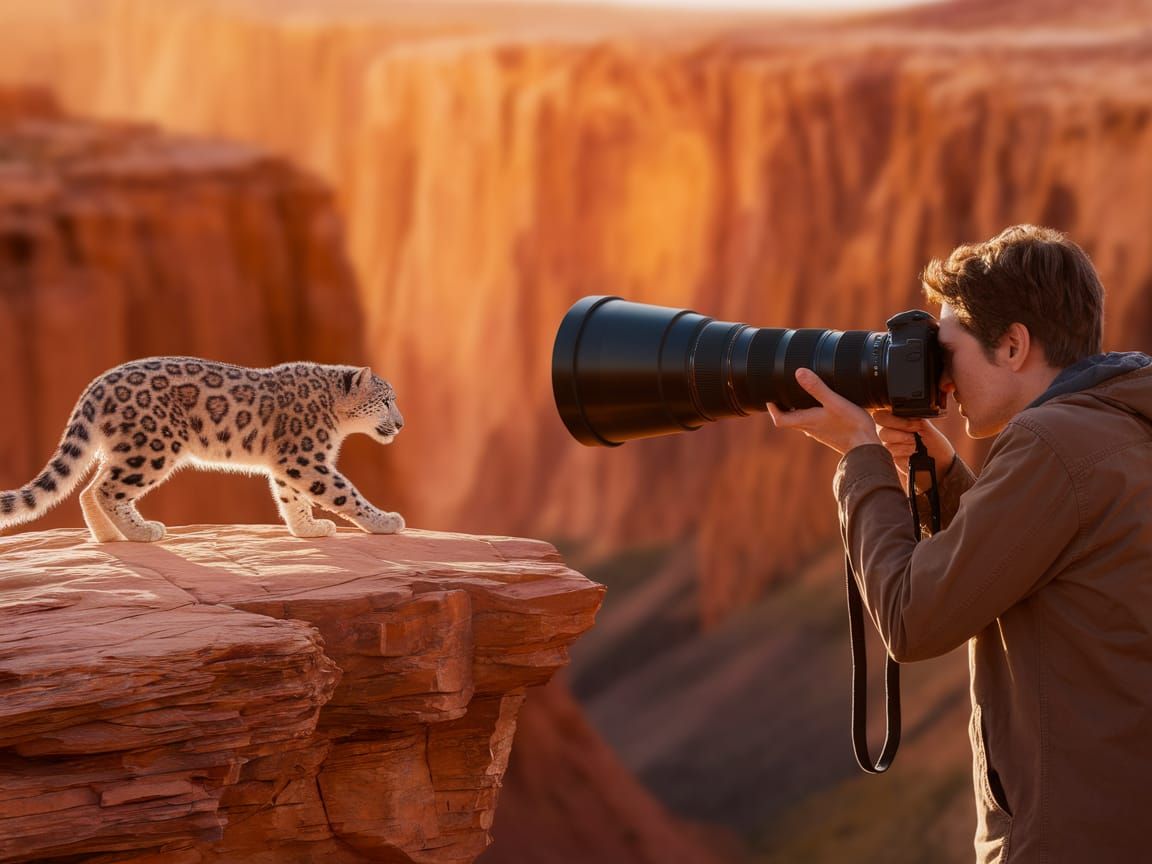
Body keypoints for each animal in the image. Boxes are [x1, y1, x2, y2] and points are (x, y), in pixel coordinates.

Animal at [0, 357, 405, 542]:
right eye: (386, 400)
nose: (401, 424)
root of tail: (97, 384)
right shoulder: (305, 457)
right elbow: (343, 492)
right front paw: (385, 521)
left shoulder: (288, 462)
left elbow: (290, 497)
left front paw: (308, 528)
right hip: (153, 446)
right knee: (106, 489)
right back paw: (143, 531)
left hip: (125, 448)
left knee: (88, 489)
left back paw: (110, 535)